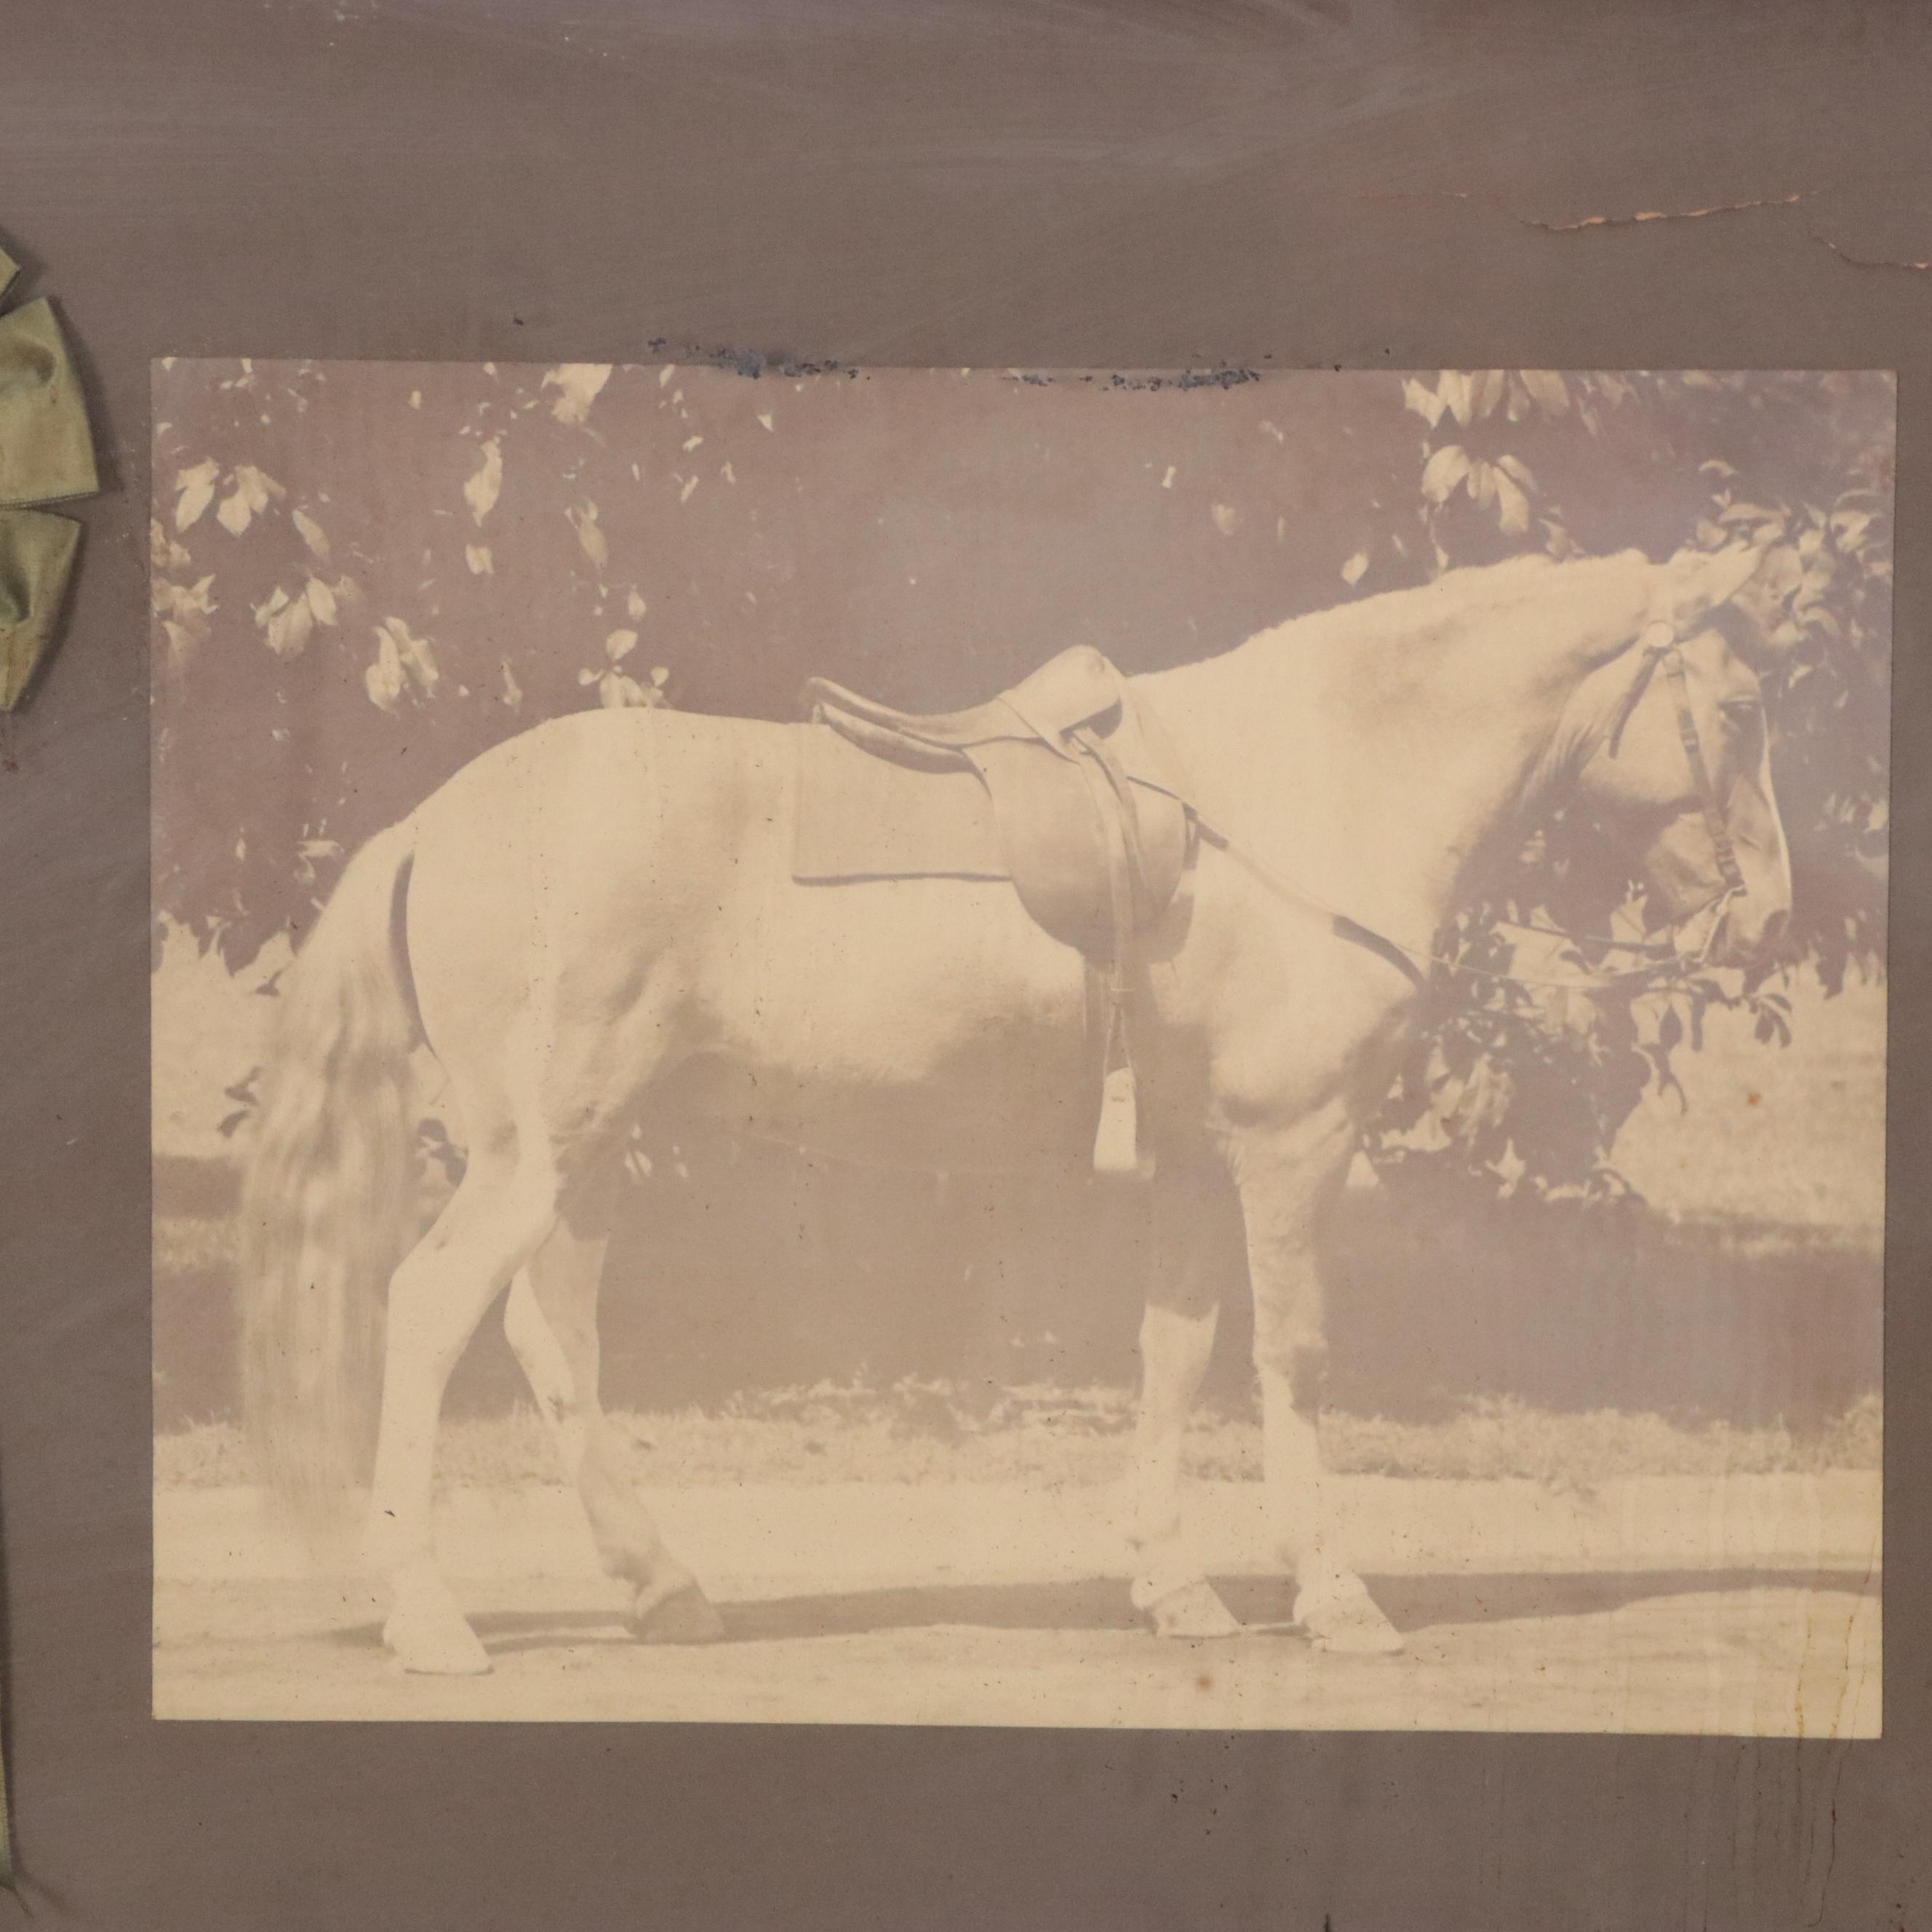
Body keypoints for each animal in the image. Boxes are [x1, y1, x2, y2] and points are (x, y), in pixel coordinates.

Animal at [238, 541, 1793, 1676]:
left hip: (588, 1154)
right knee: (432, 1311)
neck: (1301, 785)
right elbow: (1294, 1357)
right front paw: (1335, 1595)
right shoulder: (1293, 1147)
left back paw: (664, 1585)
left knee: (550, 1332)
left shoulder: (1193, 1163)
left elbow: (1177, 1352)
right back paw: (429, 1617)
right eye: (1737, 708)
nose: (1769, 916)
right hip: (539, 1151)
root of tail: (432, 819)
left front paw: (1175, 1586)